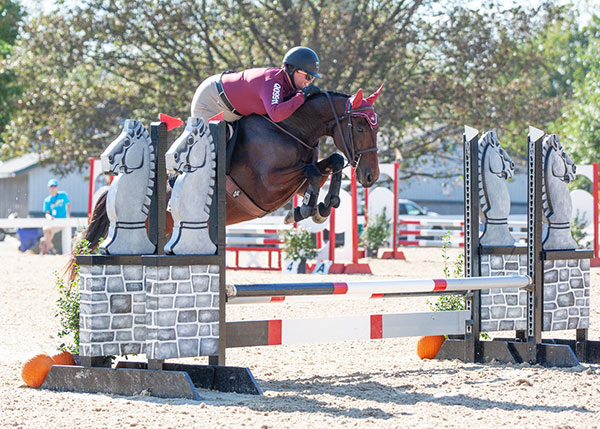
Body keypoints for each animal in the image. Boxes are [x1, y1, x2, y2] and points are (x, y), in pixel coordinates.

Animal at [79, 85, 382, 256]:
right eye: (359, 127)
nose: (371, 176)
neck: (291, 128)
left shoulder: (296, 175)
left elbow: (332, 162)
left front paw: (322, 206)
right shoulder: (267, 188)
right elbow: (314, 173)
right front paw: (305, 209)